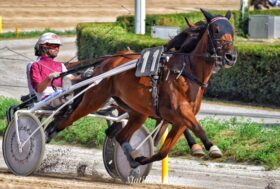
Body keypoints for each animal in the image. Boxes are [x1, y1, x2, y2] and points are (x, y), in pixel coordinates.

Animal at [47, 8, 236, 168]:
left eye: (232, 31)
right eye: (216, 30)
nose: (231, 56)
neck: (186, 72)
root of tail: (106, 62)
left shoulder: (178, 120)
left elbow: (162, 152)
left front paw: (140, 159)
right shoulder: (180, 111)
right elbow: (197, 127)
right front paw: (212, 148)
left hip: (136, 111)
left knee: (120, 135)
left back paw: (131, 156)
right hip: (95, 99)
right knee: (67, 119)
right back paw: (48, 133)